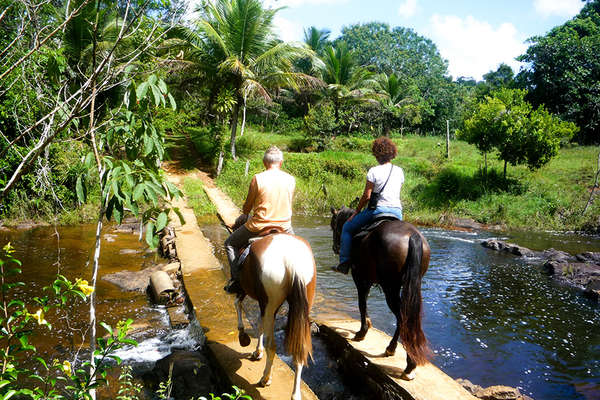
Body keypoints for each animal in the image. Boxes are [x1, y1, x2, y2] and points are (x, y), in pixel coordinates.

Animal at [232, 231, 316, 400]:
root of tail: (292, 261)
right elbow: (260, 323)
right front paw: (257, 351)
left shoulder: (246, 291)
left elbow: (238, 305)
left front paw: (244, 337)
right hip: (302, 307)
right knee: (300, 351)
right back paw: (295, 394)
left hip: (270, 304)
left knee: (272, 345)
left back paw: (265, 378)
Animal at [328, 208, 432, 380]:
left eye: (333, 226)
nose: (335, 247)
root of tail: (413, 236)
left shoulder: (360, 277)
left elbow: (362, 303)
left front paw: (362, 332)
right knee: (406, 319)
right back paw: (395, 351)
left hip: (390, 288)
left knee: (402, 318)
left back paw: (407, 363)